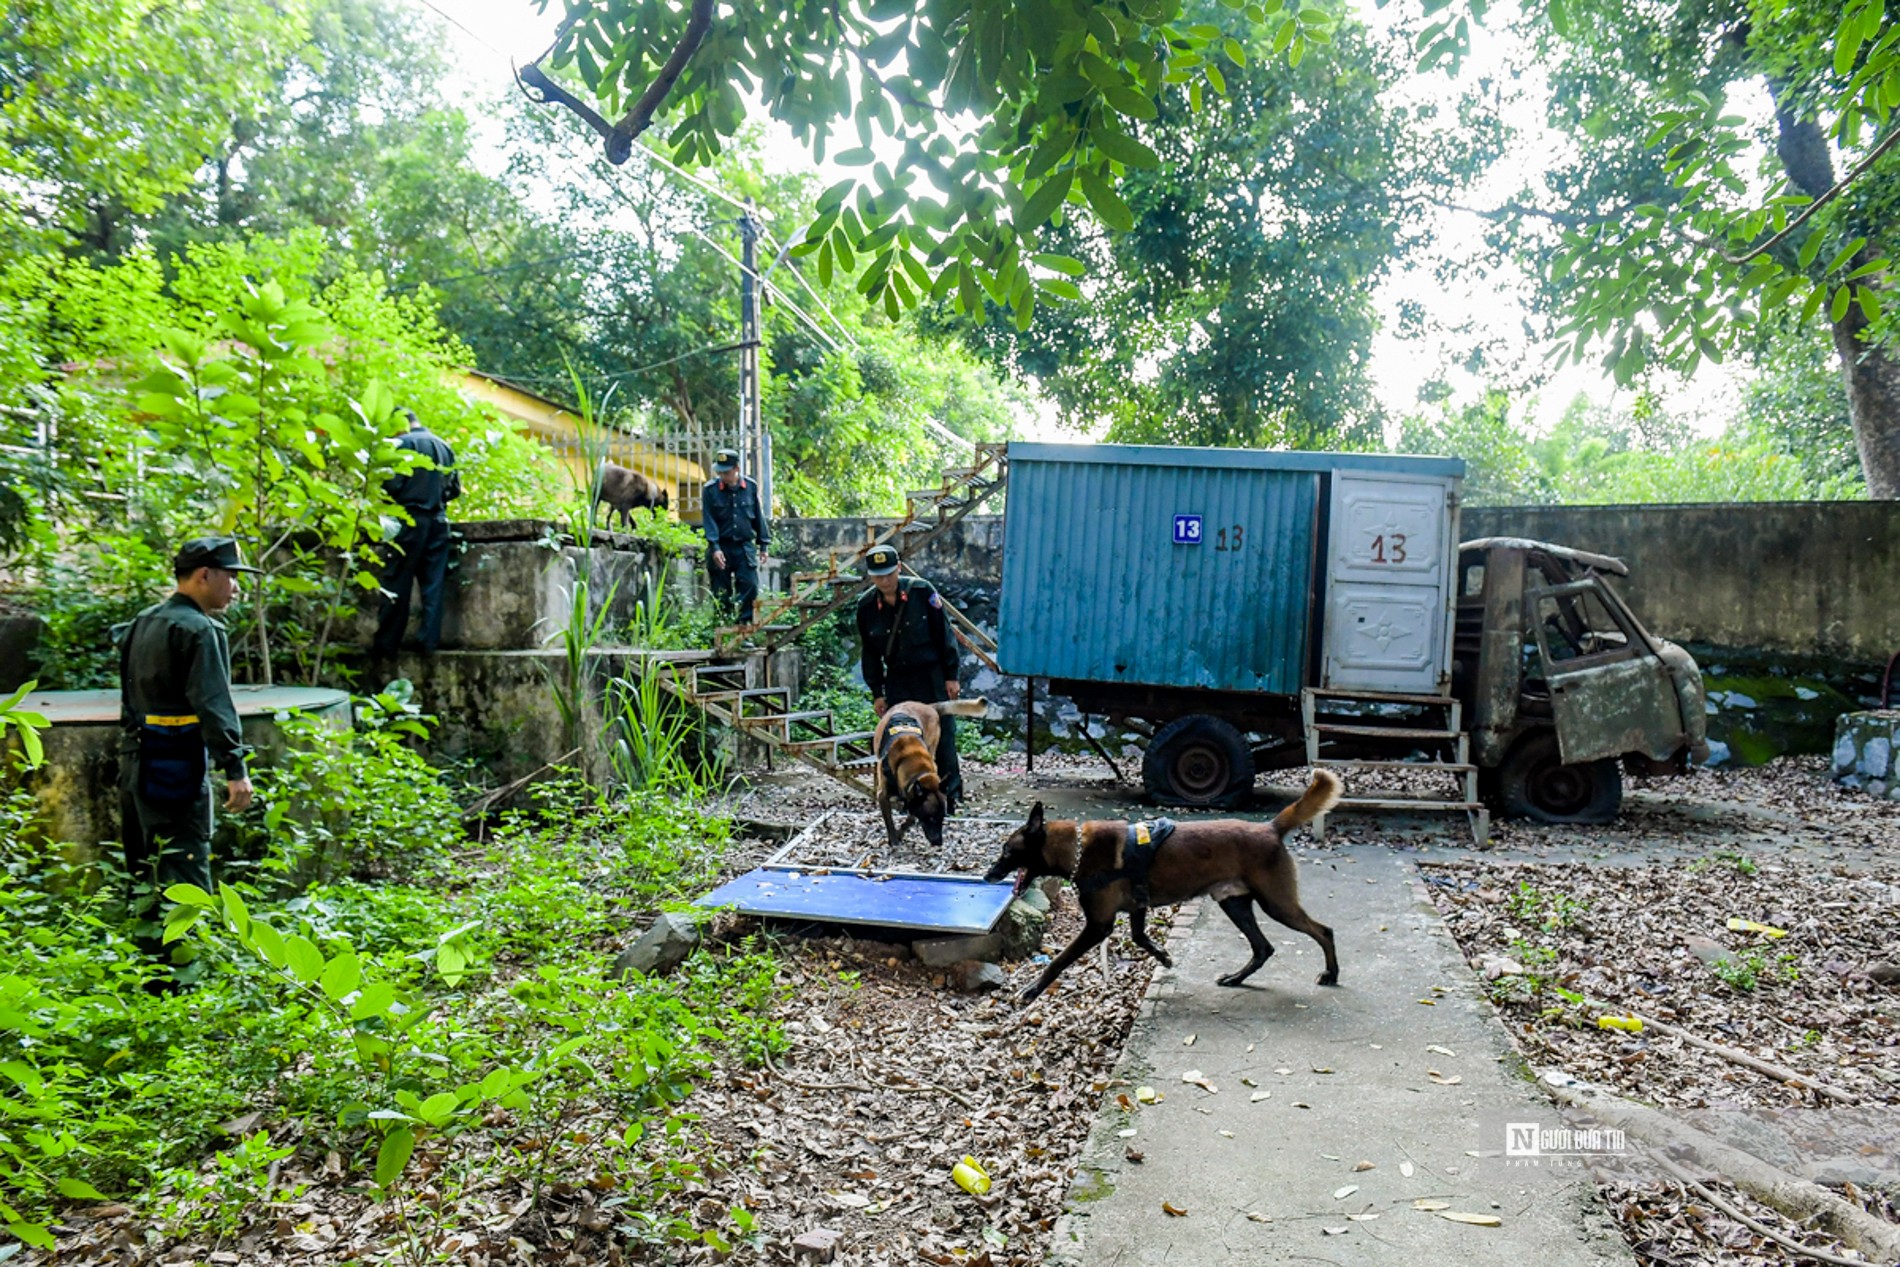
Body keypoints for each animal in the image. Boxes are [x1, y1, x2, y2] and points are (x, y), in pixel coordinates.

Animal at [874, 702, 995, 850]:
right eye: (931, 818)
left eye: (942, 817)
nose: (939, 843)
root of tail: (926, 705)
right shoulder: (882, 796)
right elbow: (889, 821)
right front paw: (894, 840)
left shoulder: (913, 797)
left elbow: (911, 818)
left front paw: (901, 832)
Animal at [988, 767, 1345, 1002]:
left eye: (1006, 851)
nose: (988, 875)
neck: (1076, 849)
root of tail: (1270, 828)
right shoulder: (1137, 907)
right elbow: (1140, 937)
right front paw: (1163, 957)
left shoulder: (1098, 926)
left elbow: (1059, 960)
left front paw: (1033, 989)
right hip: (1235, 903)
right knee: (1263, 948)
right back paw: (1235, 978)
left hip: (1276, 903)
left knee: (1324, 931)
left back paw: (1331, 974)